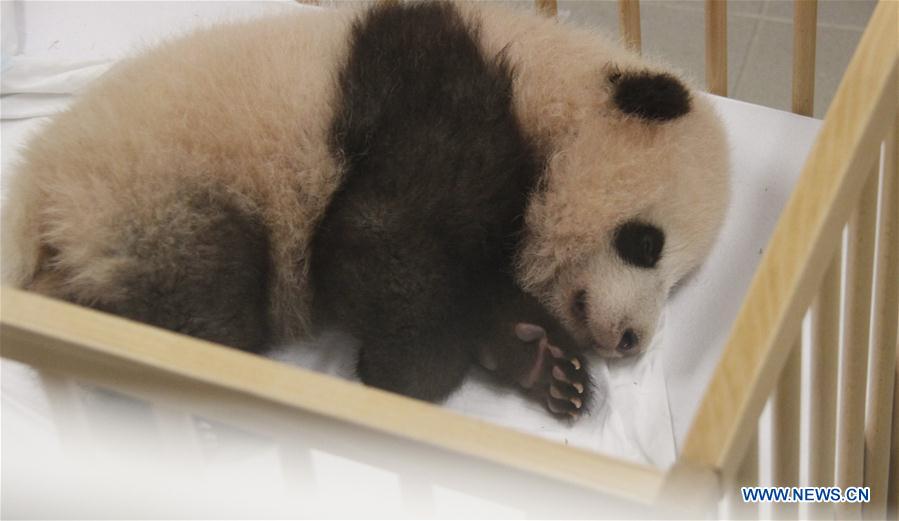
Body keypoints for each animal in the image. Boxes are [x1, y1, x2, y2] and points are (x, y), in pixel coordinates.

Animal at [1, 1, 729, 418]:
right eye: (646, 243)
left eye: (677, 282)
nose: (632, 339)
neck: (546, 79)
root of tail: (34, 193)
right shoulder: (437, 95)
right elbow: (375, 237)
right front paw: (405, 375)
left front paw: (544, 362)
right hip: (152, 193)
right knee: (199, 298)